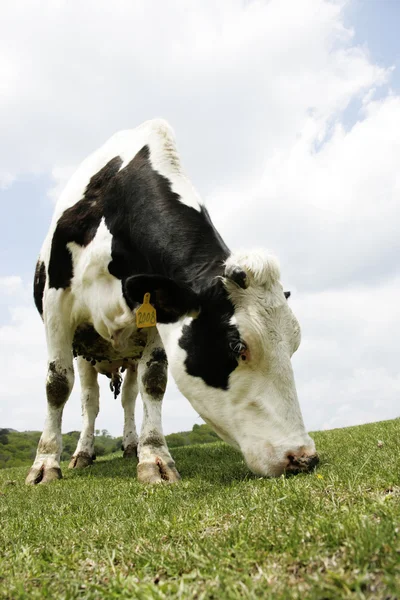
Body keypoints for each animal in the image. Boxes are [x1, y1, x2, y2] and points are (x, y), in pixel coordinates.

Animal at [25, 119, 318, 486]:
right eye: (237, 346)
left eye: (294, 345)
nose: (303, 457)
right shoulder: (57, 306)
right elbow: (57, 385)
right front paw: (45, 464)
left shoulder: (155, 318)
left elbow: (154, 382)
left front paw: (154, 457)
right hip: (86, 351)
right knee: (89, 401)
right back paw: (83, 453)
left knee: (129, 398)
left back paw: (131, 446)